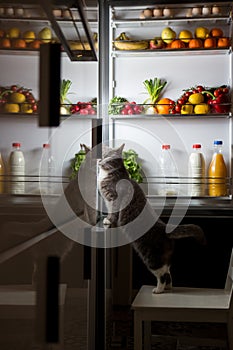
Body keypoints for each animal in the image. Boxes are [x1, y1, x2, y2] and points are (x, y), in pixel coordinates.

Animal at [98, 144, 206, 294]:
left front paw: (108, 220)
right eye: (102, 155)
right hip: (163, 259)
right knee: (168, 272)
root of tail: (164, 228)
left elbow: (113, 212)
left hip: (150, 256)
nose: (100, 160)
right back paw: (167, 287)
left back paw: (158, 290)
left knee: (162, 274)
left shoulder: (113, 198)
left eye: (108, 157)